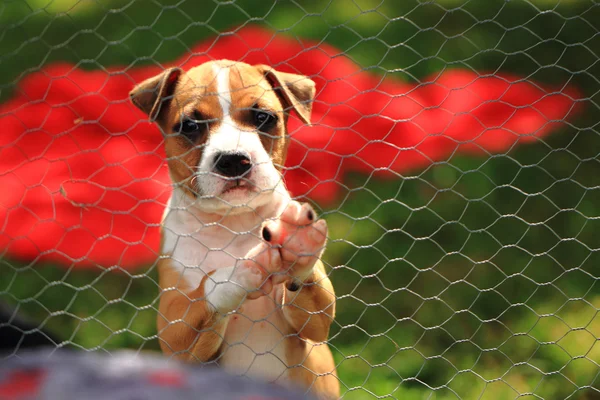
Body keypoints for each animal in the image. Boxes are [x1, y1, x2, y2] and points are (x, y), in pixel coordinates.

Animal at [129, 61, 340, 398]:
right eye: (190, 125)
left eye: (263, 117)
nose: (232, 160)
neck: (233, 224)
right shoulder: (173, 329)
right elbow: (211, 287)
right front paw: (245, 268)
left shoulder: (315, 327)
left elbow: (313, 297)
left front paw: (297, 246)